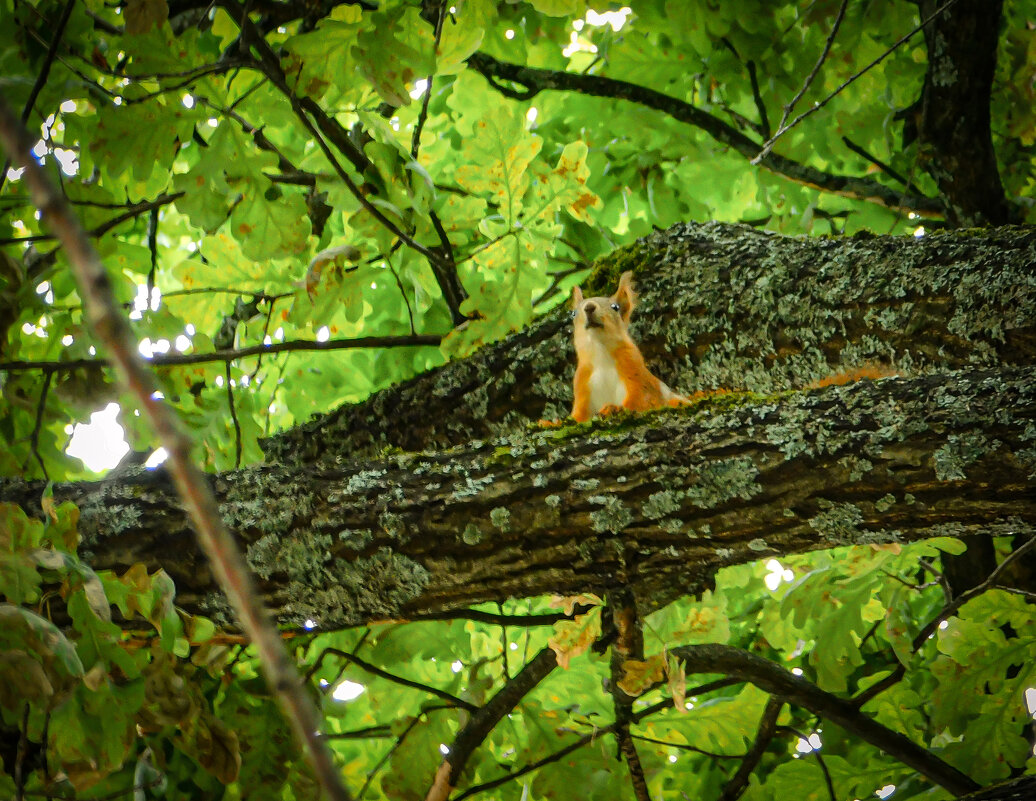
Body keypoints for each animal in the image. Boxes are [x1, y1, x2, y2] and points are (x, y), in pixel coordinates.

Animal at [567, 269, 687, 422]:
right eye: (573, 313)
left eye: (615, 307)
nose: (589, 307)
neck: (600, 354)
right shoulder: (582, 383)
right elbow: (578, 415)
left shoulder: (635, 369)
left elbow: (642, 400)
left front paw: (612, 408)